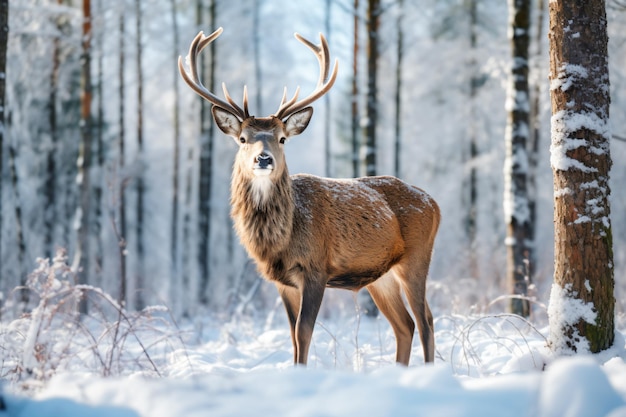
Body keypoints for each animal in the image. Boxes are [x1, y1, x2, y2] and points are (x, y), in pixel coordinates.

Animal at [176, 26, 438, 364]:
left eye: (282, 139)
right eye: (243, 139)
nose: (263, 159)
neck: (281, 240)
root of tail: (434, 203)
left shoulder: (316, 268)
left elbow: (304, 333)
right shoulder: (282, 282)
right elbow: (292, 337)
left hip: (417, 257)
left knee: (426, 320)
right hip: (382, 276)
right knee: (405, 325)